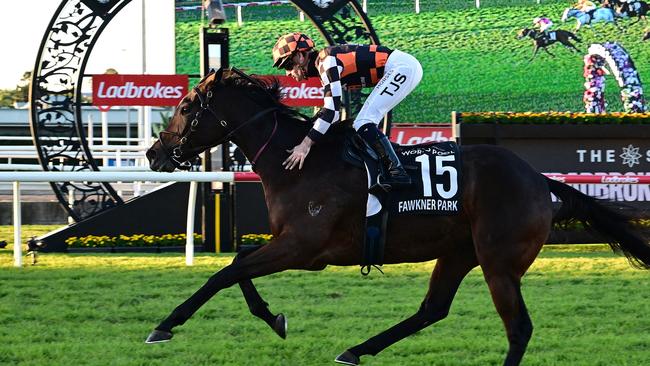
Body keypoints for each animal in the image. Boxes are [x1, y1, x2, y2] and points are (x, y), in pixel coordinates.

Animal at [143, 67, 648, 364]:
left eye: (185, 106)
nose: (153, 154)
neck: (301, 163)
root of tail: (539, 179)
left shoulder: (304, 247)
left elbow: (225, 273)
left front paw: (165, 325)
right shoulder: (295, 246)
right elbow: (236, 265)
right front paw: (274, 318)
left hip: (499, 261)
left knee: (518, 327)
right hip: (459, 252)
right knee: (433, 309)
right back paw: (356, 349)